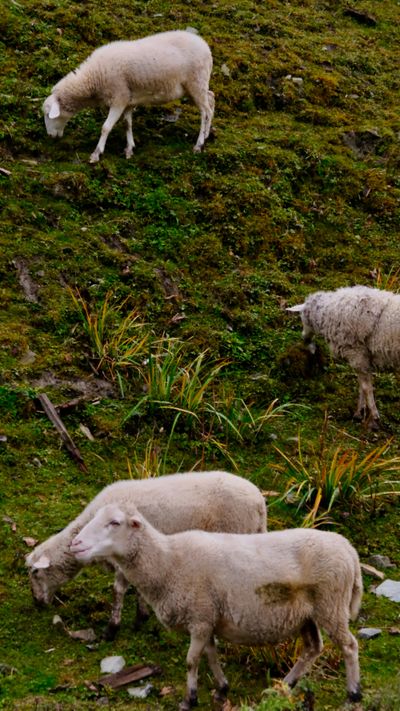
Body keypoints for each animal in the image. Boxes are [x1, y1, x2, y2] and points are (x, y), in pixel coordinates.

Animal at [26, 470, 266, 639]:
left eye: (35, 573)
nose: (37, 603)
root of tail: (259, 501)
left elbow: (118, 590)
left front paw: (112, 629)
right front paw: (141, 617)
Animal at [43, 30, 214, 162]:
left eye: (47, 114)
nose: (50, 136)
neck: (93, 78)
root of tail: (205, 45)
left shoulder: (119, 97)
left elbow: (106, 127)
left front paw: (96, 153)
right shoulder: (129, 100)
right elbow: (127, 124)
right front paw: (129, 149)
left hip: (196, 81)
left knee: (205, 112)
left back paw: (199, 144)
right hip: (195, 85)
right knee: (211, 100)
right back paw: (206, 135)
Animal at [71, 504, 362, 709]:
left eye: (114, 522)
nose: (76, 544)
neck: (168, 563)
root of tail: (349, 549)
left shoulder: (200, 617)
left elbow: (191, 660)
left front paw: (189, 699)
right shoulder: (207, 617)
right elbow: (210, 655)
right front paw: (222, 688)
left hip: (331, 605)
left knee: (349, 646)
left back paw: (353, 694)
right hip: (307, 615)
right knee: (313, 648)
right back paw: (284, 685)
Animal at [287, 285, 400, 429]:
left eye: (302, 317)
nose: (304, 339)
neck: (327, 312)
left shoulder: (356, 353)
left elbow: (366, 387)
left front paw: (373, 416)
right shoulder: (362, 358)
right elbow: (362, 386)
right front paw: (359, 413)